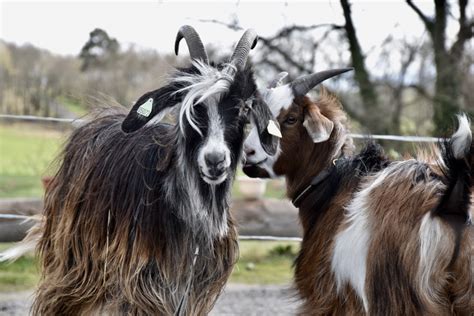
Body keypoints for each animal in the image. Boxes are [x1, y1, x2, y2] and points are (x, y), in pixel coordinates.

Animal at [1, 25, 280, 314]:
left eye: (243, 108)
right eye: (192, 107)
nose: (215, 160)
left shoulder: (191, 292)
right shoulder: (140, 285)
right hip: (75, 263)